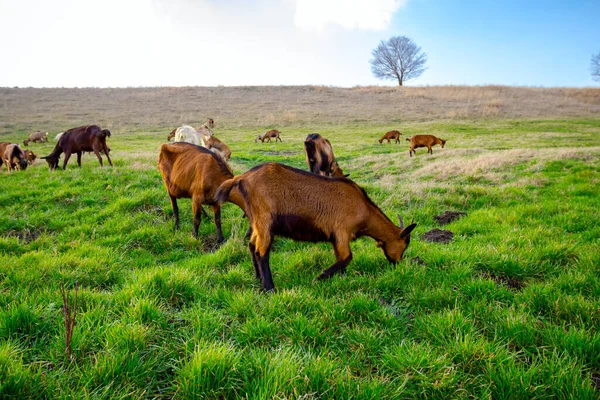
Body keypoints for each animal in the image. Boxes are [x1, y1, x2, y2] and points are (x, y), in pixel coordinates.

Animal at [216, 162, 418, 290]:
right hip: (265, 220)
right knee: (262, 252)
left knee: (252, 246)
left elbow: (341, 260)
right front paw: (318, 278)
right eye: (405, 245)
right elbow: (347, 258)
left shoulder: (336, 239)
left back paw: (258, 279)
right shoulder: (341, 231)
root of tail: (241, 179)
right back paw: (269, 288)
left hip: (257, 222)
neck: (364, 209)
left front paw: (340, 279)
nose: (397, 263)